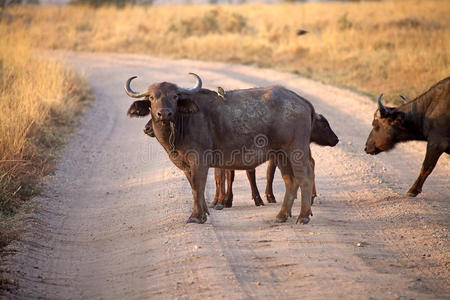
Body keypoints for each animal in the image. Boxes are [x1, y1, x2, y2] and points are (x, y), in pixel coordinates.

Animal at [125, 72, 316, 223]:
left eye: (175, 96)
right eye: (151, 98)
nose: (164, 113)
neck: (180, 124)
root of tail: (301, 100)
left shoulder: (199, 160)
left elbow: (198, 187)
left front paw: (195, 216)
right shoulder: (185, 165)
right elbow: (194, 188)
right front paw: (203, 213)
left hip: (296, 150)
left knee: (305, 177)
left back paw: (303, 216)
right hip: (281, 154)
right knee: (290, 181)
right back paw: (282, 215)